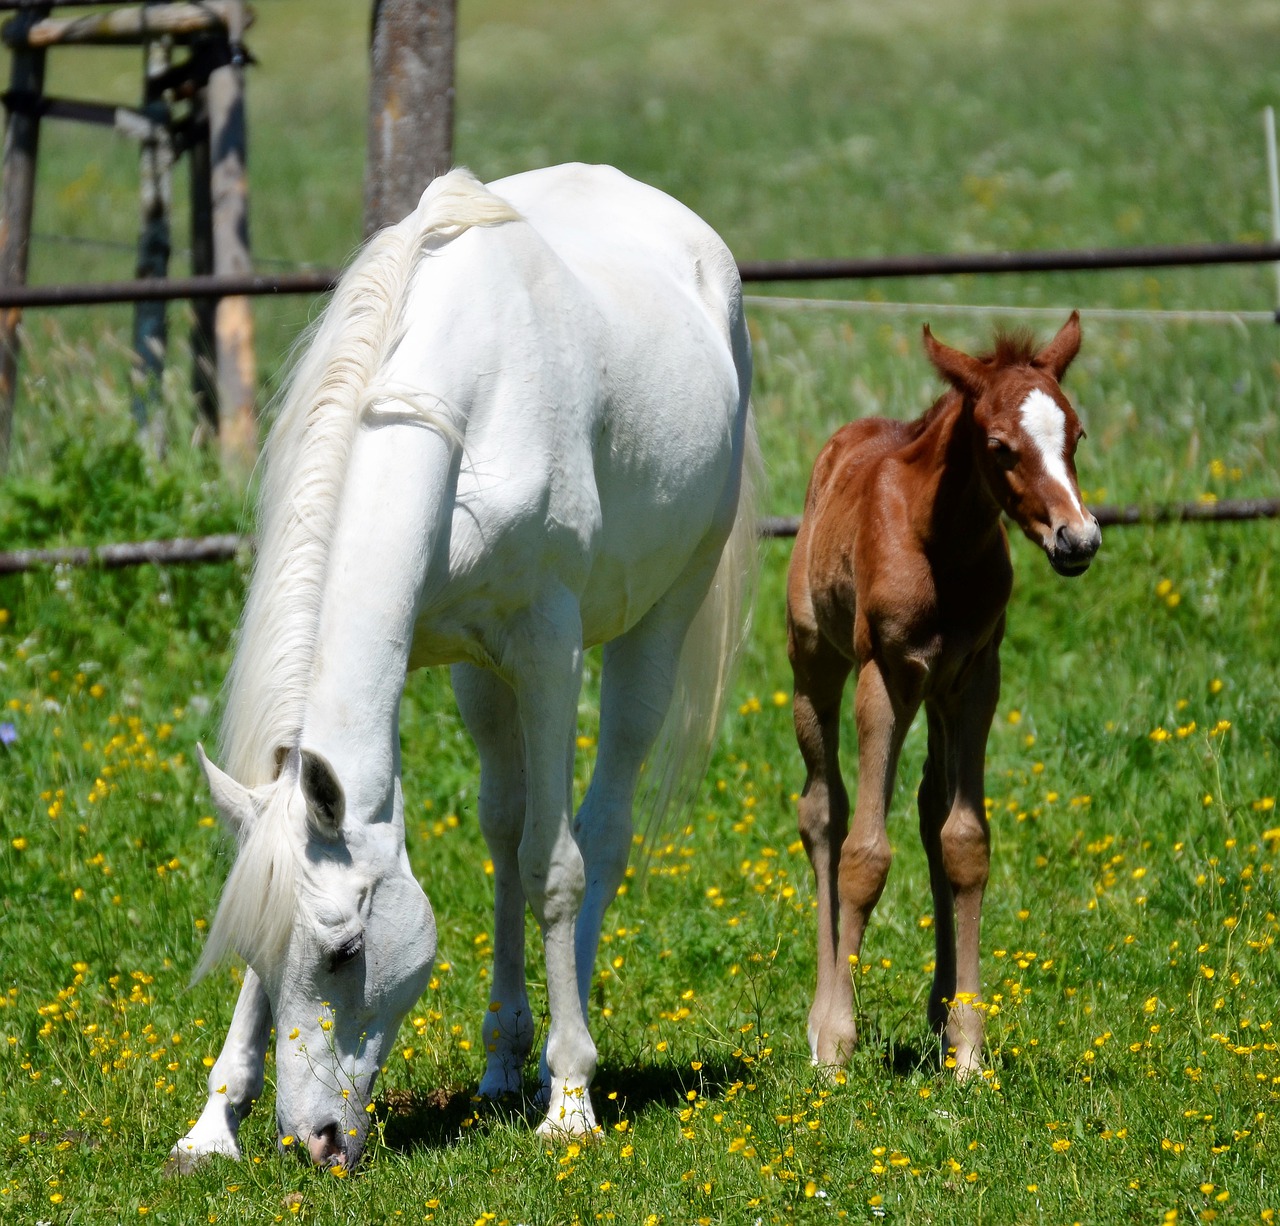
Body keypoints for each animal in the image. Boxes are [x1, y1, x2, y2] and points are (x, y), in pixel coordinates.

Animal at [165, 163, 752, 1172]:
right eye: (262, 949)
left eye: (346, 952)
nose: (314, 1139)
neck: (460, 406)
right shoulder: (451, 654)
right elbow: (506, 850)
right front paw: (214, 1124)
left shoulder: (550, 650)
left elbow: (555, 867)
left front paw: (571, 1103)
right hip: (483, 680)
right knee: (503, 828)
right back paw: (503, 1063)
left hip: (661, 618)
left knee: (598, 829)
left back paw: (561, 1059)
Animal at [788, 314, 1100, 1074]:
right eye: (1000, 447)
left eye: (1077, 436)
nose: (1078, 539)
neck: (943, 545)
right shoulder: (884, 676)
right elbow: (864, 855)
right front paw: (836, 1043)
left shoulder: (976, 676)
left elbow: (964, 843)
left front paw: (968, 1049)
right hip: (815, 667)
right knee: (823, 814)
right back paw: (817, 1019)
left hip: (936, 692)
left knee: (931, 809)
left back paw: (938, 1014)